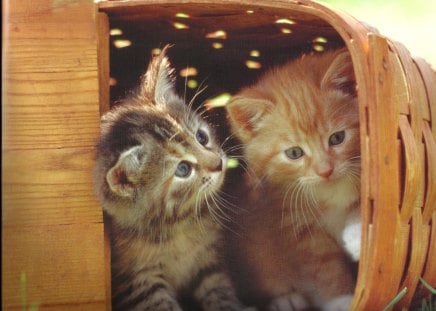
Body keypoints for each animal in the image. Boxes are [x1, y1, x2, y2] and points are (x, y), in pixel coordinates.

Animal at [93, 47, 247, 311]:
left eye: (202, 137)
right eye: (183, 169)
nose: (218, 164)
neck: (177, 224)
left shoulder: (209, 263)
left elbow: (220, 292)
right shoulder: (138, 281)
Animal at [227, 50, 360, 310]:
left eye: (337, 138)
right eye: (294, 153)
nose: (325, 171)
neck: (328, 190)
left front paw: (357, 237)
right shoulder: (295, 226)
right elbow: (324, 268)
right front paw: (341, 299)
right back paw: (286, 300)